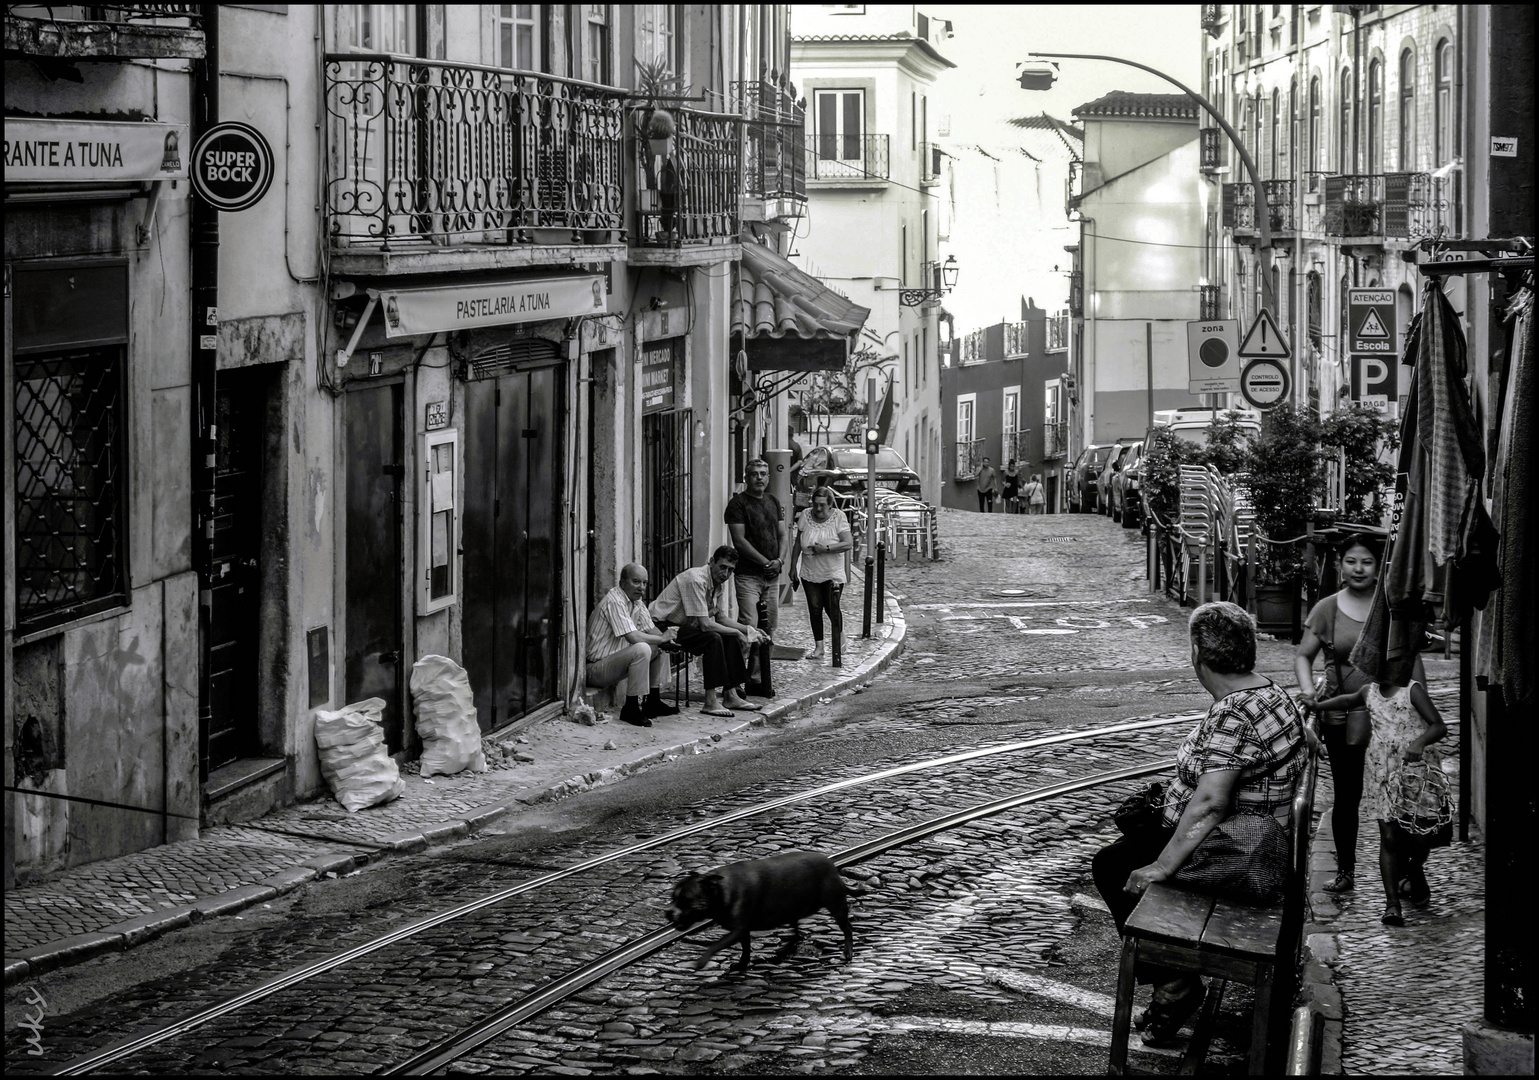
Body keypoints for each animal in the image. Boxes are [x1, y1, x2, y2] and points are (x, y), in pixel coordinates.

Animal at [661, 855, 855, 972]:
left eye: (685, 900)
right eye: (672, 897)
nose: (668, 912)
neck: (720, 891)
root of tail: (831, 865)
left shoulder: (738, 929)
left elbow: (715, 945)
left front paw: (702, 961)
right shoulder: (742, 930)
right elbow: (745, 949)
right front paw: (741, 965)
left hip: (836, 905)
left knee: (847, 928)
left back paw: (847, 952)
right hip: (792, 906)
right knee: (795, 928)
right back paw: (787, 947)